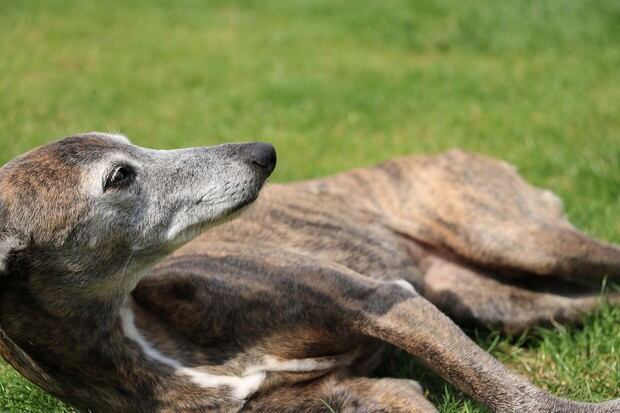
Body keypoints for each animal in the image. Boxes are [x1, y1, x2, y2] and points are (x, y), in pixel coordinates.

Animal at [1, 133, 620, 412]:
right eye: (120, 176)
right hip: (495, 298)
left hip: (523, 241)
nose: (264, 151)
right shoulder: (359, 392)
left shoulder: (379, 299)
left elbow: (511, 393)